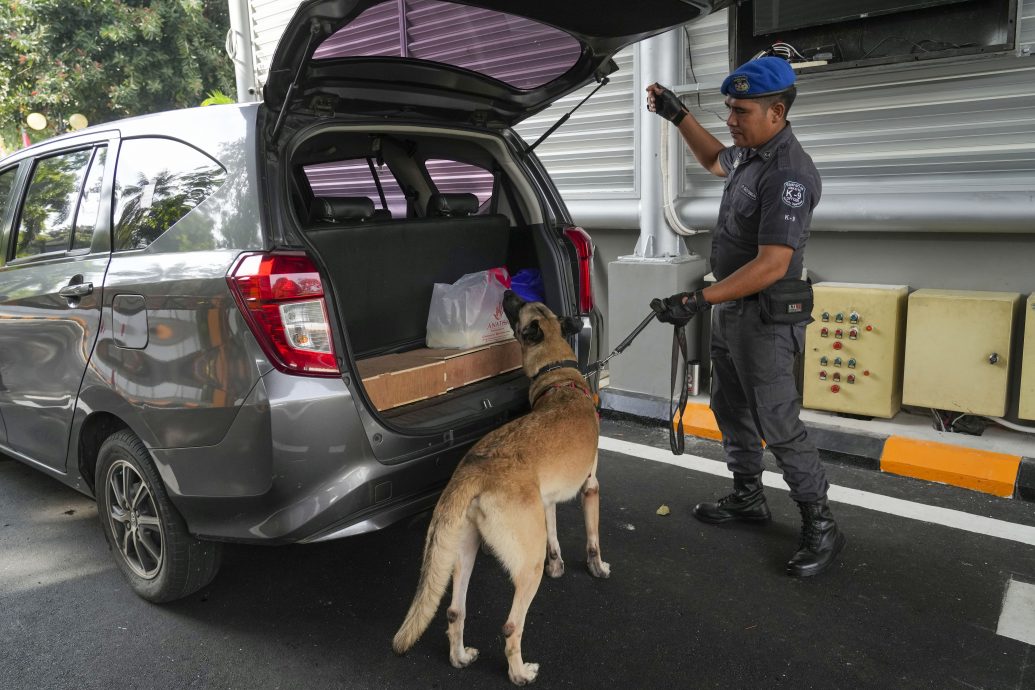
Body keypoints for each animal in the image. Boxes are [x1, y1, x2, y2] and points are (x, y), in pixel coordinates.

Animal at [393, 289, 604, 686]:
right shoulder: (591, 488)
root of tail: (472, 471)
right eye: (522, 307)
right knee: (510, 627)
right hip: (526, 568)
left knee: (454, 612)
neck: (560, 378)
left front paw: (558, 566)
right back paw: (520, 673)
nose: (508, 291)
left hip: (463, 551)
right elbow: (593, 540)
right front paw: (598, 569)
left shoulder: (547, 504)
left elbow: (555, 538)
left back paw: (460, 657)